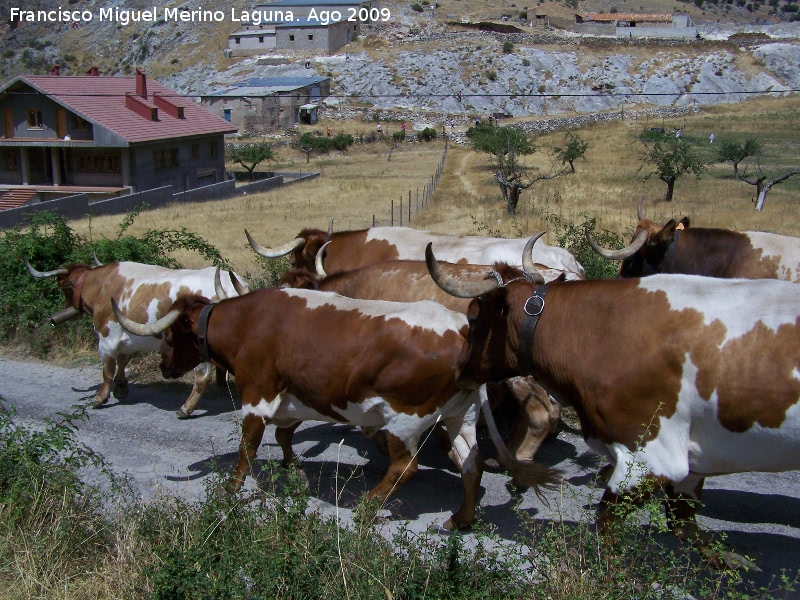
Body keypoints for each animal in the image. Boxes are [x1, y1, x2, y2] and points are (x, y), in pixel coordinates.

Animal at [25, 260, 247, 420]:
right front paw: (121, 388)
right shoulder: (125, 340)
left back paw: (185, 408)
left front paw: (100, 398)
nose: (56, 317)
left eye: (65, 289)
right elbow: (122, 361)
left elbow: (107, 369)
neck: (103, 285)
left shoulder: (106, 338)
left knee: (202, 378)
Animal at [111, 290, 564, 528]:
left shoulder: (257, 394)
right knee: (471, 464)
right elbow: (285, 434)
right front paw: (292, 468)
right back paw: (461, 518)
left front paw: (231, 490)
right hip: (460, 416)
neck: (247, 324)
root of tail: (458, 327)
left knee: (406, 466)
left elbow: (248, 447)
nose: (165, 367)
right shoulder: (295, 396)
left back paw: (367, 505)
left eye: (171, 334)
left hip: (406, 418)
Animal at [428, 234, 800, 568]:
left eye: (473, 316)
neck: (595, 333)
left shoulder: (652, 458)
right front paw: (729, 561)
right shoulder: (690, 465)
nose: (459, 369)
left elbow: (607, 526)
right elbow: (683, 524)